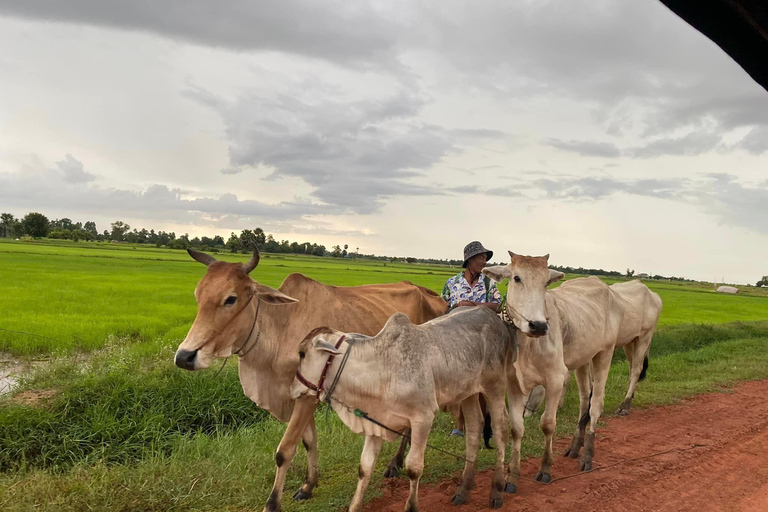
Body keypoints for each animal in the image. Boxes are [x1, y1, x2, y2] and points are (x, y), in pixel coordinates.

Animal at [170, 248, 440, 500]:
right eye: (198, 296)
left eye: (230, 299)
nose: (185, 356)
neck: (280, 329)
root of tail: (426, 291)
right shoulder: (298, 394)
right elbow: (308, 441)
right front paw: (308, 485)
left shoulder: (307, 397)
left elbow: (285, 450)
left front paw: (274, 501)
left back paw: (394, 464)